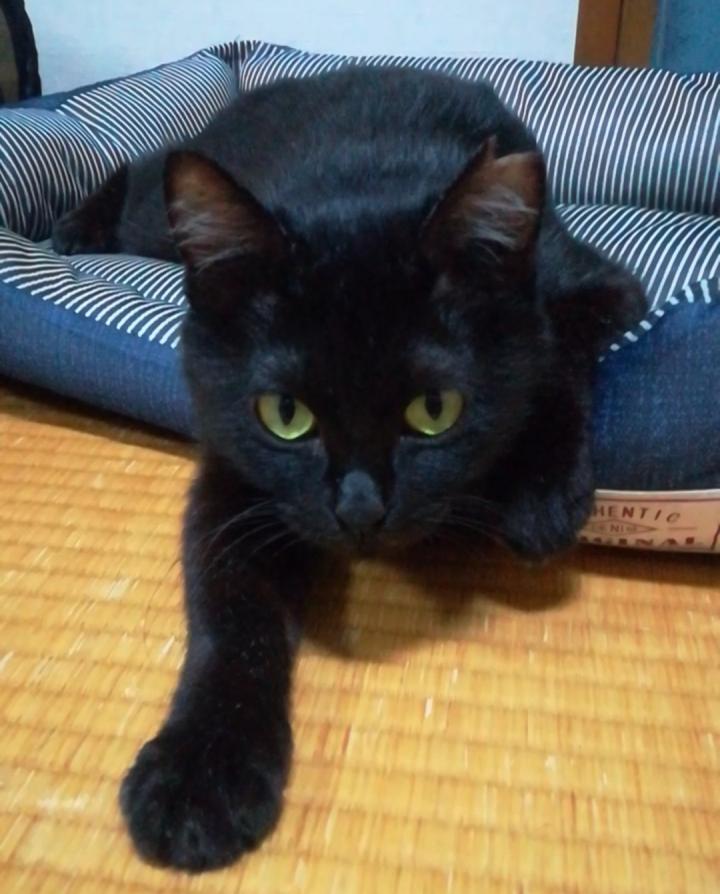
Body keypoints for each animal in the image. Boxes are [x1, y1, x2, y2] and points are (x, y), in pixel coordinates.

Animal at [53, 66, 646, 871]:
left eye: (434, 409)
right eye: (285, 414)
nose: (361, 509)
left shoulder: (599, 285)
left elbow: (553, 344)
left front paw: (539, 491)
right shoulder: (235, 475)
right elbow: (231, 615)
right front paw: (202, 774)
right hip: (162, 217)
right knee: (141, 166)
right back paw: (73, 227)